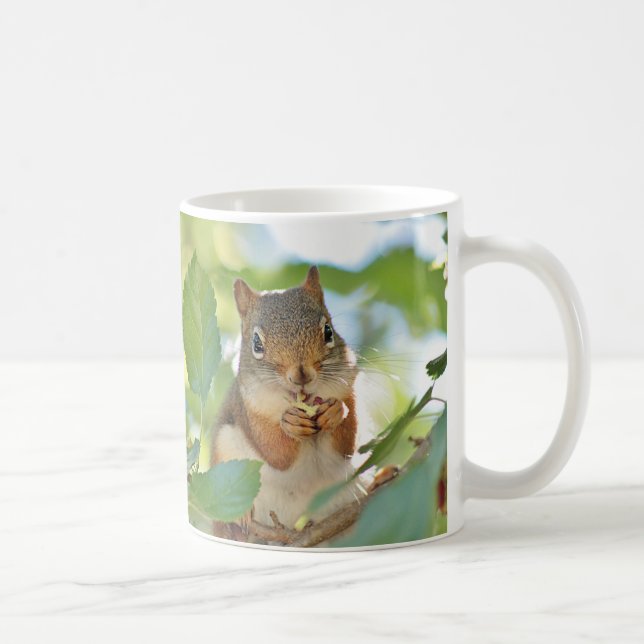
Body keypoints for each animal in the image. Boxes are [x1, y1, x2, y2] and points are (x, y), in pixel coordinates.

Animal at [212, 266, 361, 529]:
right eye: (256, 343)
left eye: (328, 331)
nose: (301, 374)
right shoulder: (250, 412)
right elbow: (276, 453)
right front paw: (289, 423)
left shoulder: (346, 389)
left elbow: (345, 445)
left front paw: (336, 412)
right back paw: (240, 516)